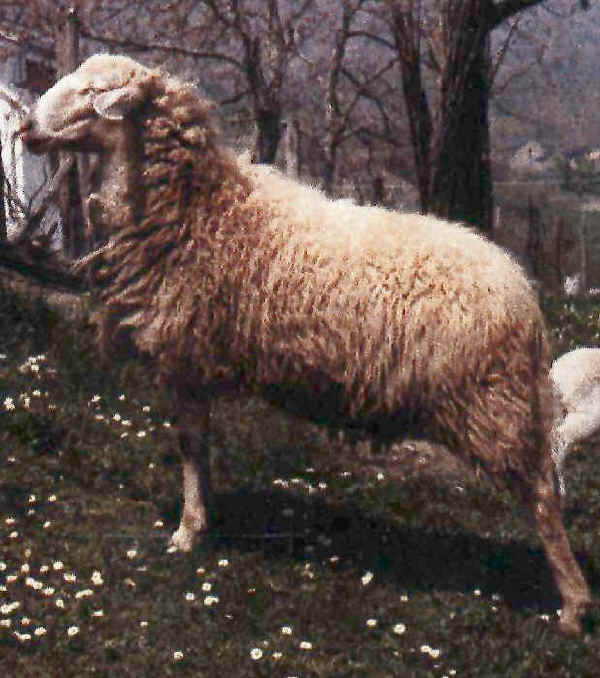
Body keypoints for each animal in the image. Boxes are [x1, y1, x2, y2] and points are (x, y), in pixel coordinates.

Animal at [21, 54, 591, 634]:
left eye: (93, 92)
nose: (25, 128)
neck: (200, 209)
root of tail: (527, 301)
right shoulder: (196, 361)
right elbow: (201, 447)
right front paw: (206, 516)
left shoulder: (183, 355)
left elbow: (190, 448)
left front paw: (188, 529)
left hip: (492, 406)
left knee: (544, 497)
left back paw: (572, 604)